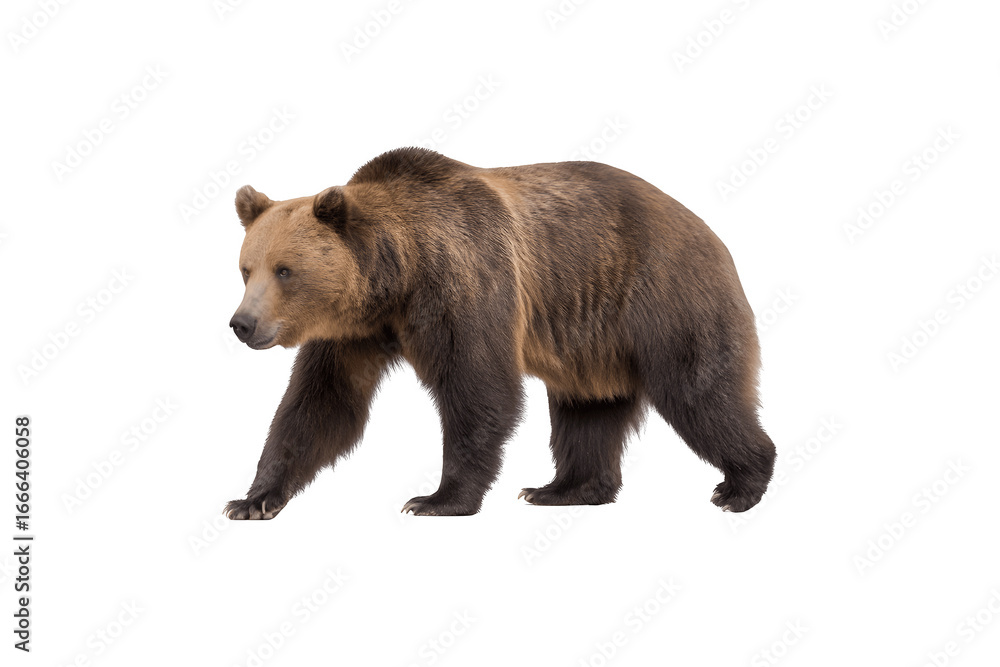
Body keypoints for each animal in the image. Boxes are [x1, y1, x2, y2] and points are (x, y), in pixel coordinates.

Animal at [224, 147, 776, 519]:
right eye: (246, 268)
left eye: (285, 270)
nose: (242, 324)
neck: (396, 280)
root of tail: (712, 233)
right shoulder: (352, 331)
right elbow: (320, 404)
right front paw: (253, 499)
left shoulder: (466, 282)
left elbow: (481, 389)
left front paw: (435, 498)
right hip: (593, 341)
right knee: (588, 411)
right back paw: (561, 489)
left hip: (663, 297)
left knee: (698, 392)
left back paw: (740, 485)